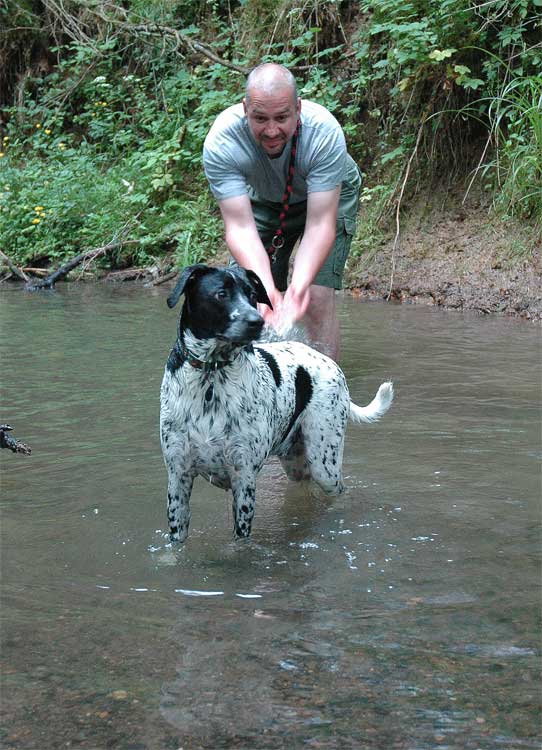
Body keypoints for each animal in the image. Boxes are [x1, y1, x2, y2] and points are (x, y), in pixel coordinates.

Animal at [159, 268, 394, 544]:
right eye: (221, 293)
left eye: (252, 294)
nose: (256, 321)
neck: (210, 379)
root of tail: (330, 363)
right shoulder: (178, 478)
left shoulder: (244, 478)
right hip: (296, 464)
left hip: (325, 464)